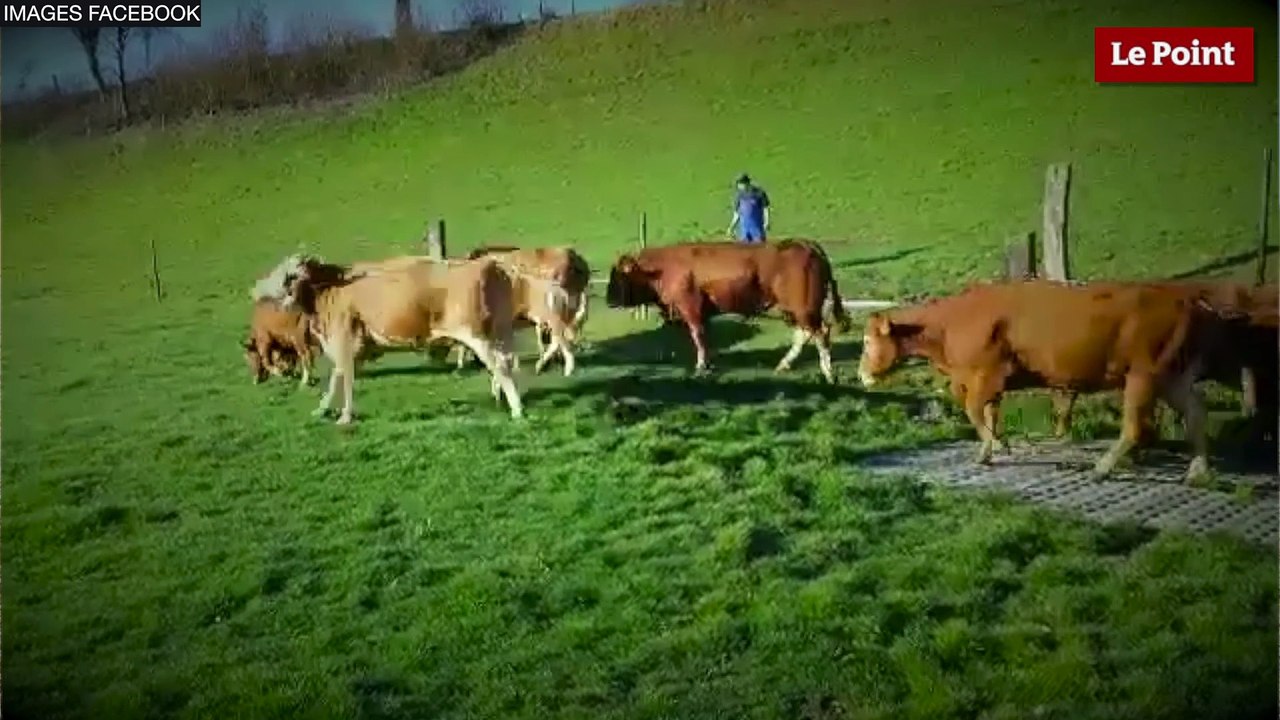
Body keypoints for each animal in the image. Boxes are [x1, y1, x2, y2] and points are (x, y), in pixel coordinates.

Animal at [256, 253, 524, 424]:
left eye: (287, 276)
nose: (255, 290)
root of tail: (487, 264)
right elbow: (336, 380)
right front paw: (322, 411)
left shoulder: (344, 342)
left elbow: (345, 380)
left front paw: (345, 417)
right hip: (500, 331)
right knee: (506, 362)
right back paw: (500, 400)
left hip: (476, 334)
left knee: (499, 366)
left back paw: (517, 410)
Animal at [604, 240, 851, 382]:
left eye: (618, 276)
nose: (609, 300)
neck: (659, 269)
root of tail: (805, 245)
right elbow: (704, 337)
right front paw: (708, 362)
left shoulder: (689, 306)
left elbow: (698, 335)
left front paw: (701, 366)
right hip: (795, 310)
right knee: (805, 334)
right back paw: (784, 365)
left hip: (802, 307)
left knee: (821, 333)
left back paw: (828, 372)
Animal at [856, 279, 1244, 482]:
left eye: (867, 341)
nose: (861, 374)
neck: (951, 324)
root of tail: (1183, 298)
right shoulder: (988, 381)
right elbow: (989, 413)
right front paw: (994, 448)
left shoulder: (984, 374)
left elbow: (973, 411)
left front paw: (993, 448)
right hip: (1171, 376)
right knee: (1195, 412)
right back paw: (1198, 469)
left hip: (1143, 375)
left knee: (1135, 427)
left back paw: (1102, 467)